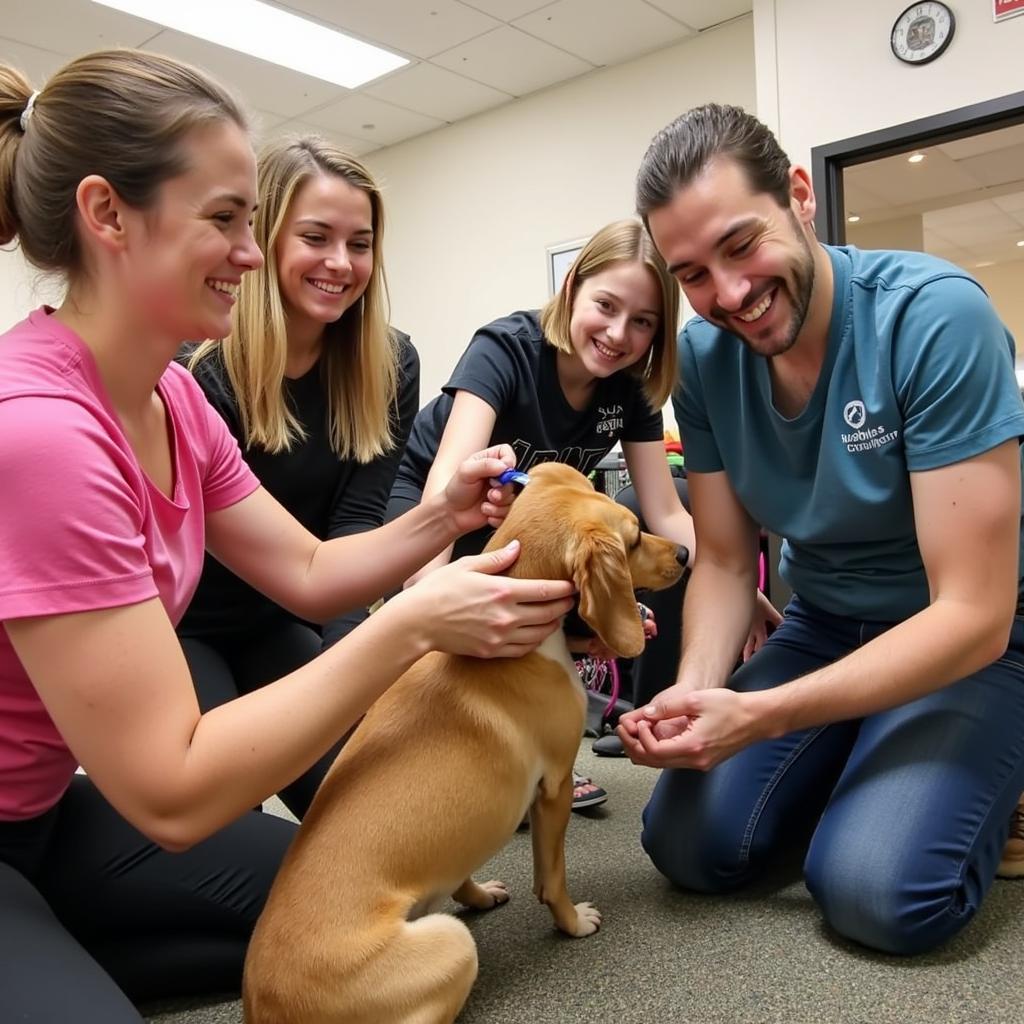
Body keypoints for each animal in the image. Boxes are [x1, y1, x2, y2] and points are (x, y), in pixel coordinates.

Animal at [243, 464, 684, 1024]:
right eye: (632, 540)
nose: (684, 552)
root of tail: (267, 1006)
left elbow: (458, 868)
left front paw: (476, 893)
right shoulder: (556, 787)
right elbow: (552, 877)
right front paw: (570, 922)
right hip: (452, 944)